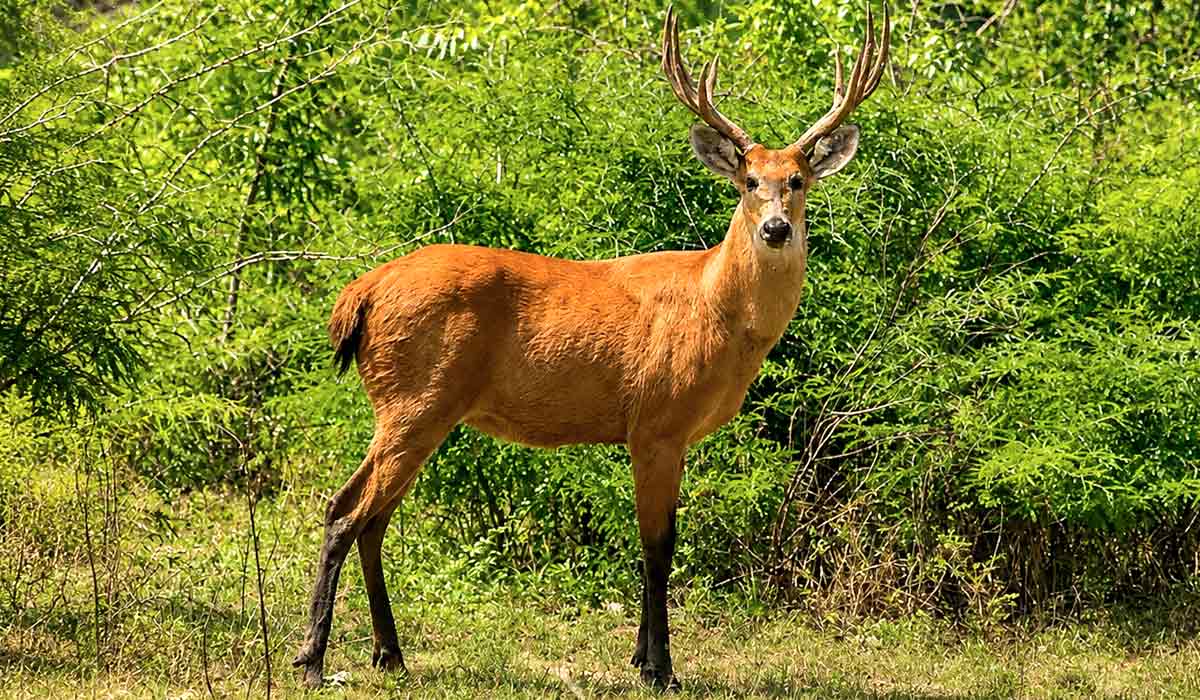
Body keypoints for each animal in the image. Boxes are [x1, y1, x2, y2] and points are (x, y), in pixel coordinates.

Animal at [292, 4, 890, 690]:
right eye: (747, 180)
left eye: (798, 180)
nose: (775, 228)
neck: (718, 310)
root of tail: (361, 292)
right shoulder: (657, 421)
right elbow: (658, 546)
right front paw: (660, 669)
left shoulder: (661, 432)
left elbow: (655, 542)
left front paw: (639, 656)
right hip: (414, 399)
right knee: (345, 510)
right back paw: (312, 661)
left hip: (416, 407)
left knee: (374, 516)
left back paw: (390, 655)